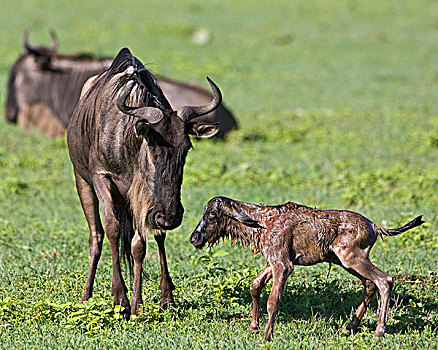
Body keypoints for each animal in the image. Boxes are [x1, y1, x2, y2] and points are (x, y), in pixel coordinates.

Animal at [190, 197, 422, 342]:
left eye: (212, 215)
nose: (194, 238)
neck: (261, 223)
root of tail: (374, 226)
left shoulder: (283, 265)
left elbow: (273, 301)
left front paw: (267, 336)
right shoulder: (274, 262)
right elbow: (255, 286)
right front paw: (253, 327)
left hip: (351, 258)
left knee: (384, 280)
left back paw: (379, 331)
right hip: (345, 261)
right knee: (370, 284)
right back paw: (351, 326)